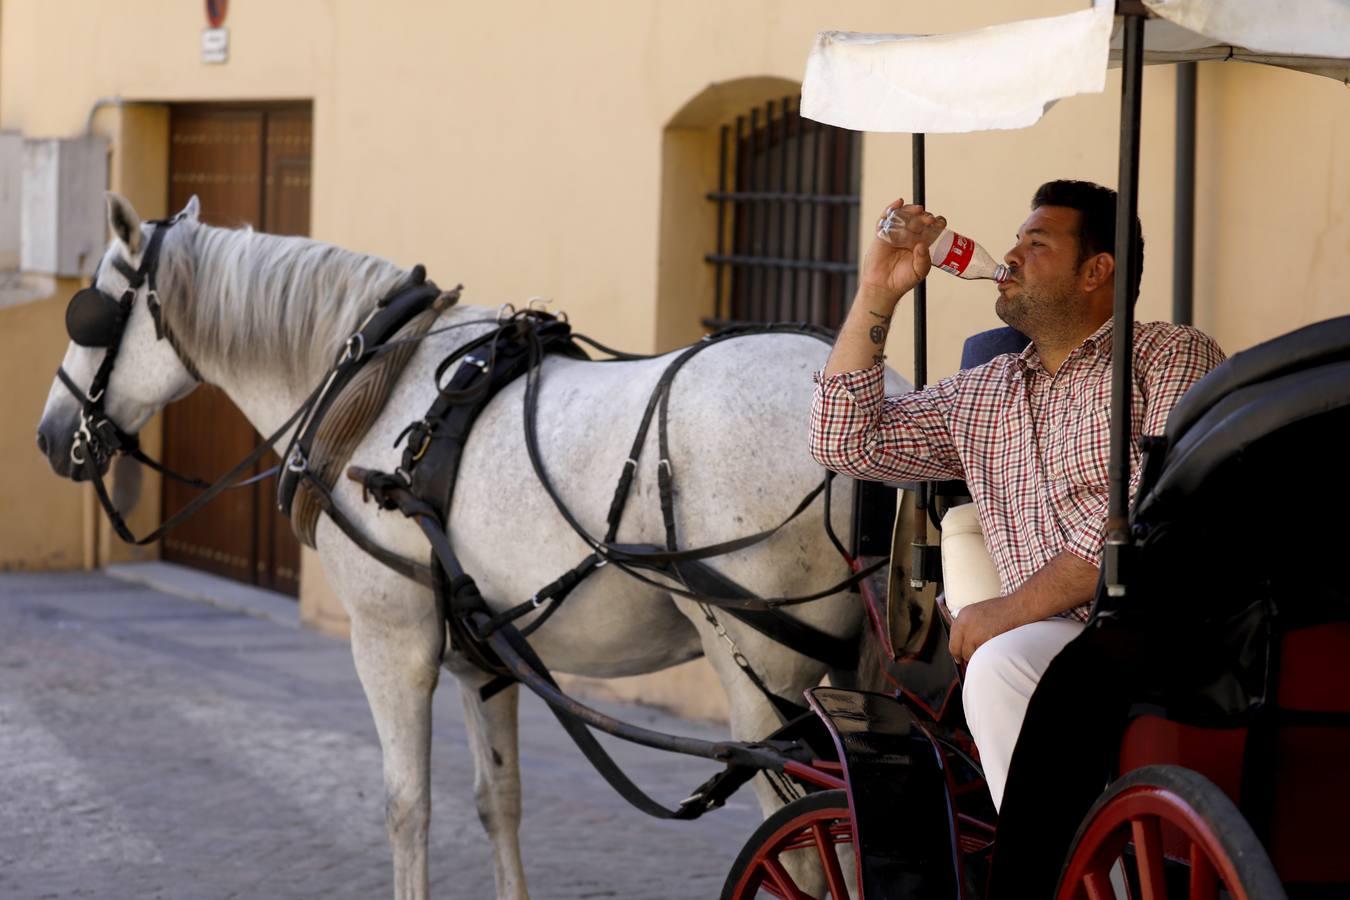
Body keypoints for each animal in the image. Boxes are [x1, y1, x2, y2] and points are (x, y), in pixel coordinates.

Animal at [34, 194, 896, 895]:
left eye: (93, 312)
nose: (48, 434)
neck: (372, 388)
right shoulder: (485, 657)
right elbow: (498, 802)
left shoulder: (390, 641)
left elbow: (406, 806)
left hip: (765, 677)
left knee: (813, 858)